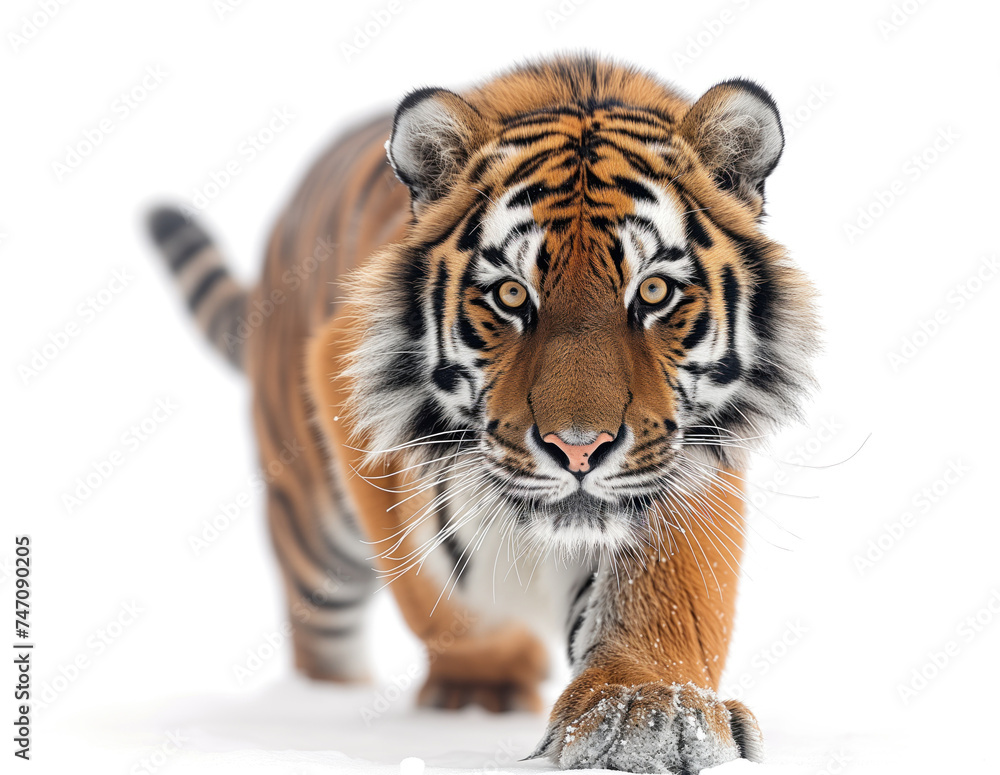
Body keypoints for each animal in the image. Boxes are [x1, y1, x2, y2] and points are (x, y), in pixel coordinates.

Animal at [147, 54, 818, 773]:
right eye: (511, 296)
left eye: (656, 292)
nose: (579, 448)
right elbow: (440, 591)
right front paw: (484, 685)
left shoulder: (687, 456)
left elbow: (670, 589)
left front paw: (646, 709)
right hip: (312, 533)